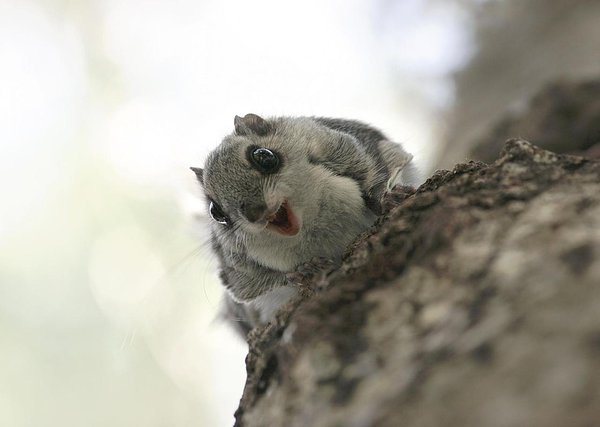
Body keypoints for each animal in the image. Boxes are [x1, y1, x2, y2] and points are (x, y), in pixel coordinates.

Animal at [191, 113, 418, 338]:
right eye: (216, 212)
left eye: (264, 156)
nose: (254, 213)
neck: (311, 224)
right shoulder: (235, 268)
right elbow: (249, 288)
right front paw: (302, 271)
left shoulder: (344, 147)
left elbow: (375, 171)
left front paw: (385, 198)